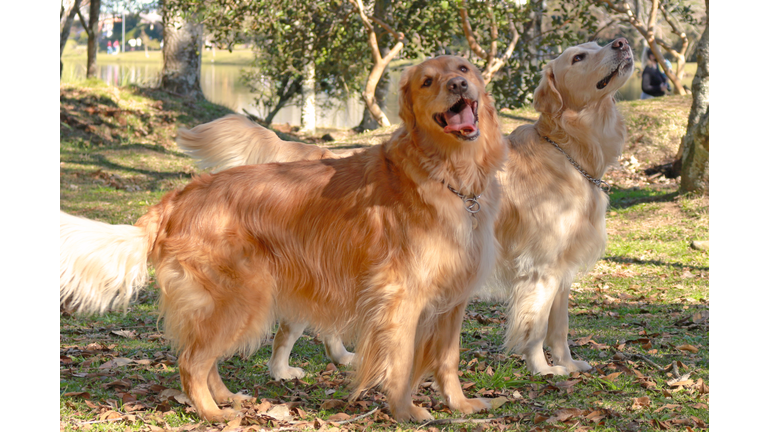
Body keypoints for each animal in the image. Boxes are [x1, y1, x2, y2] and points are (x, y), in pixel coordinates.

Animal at [60, 54, 508, 422]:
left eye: (464, 69)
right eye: (427, 81)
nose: (458, 86)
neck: (448, 177)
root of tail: (176, 198)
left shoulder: (453, 301)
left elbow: (447, 360)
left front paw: (460, 405)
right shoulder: (400, 297)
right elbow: (398, 363)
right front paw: (405, 411)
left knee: (206, 358)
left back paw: (225, 398)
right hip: (244, 298)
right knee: (191, 361)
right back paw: (211, 412)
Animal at [177, 38, 632, 376]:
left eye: (597, 44)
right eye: (578, 57)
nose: (622, 42)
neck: (569, 152)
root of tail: (315, 153)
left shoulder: (563, 269)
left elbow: (560, 327)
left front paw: (569, 364)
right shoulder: (539, 268)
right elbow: (535, 329)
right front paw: (543, 369)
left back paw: (341, 356)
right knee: (289, 328)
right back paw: (282, 371)